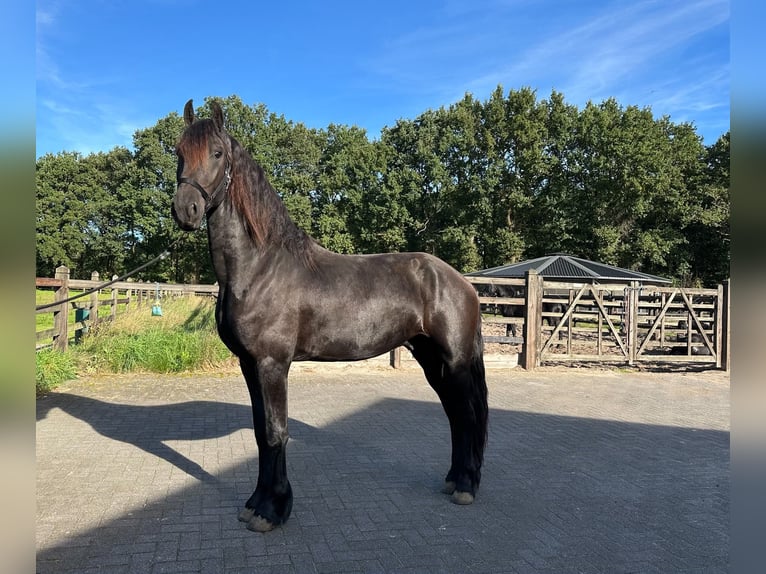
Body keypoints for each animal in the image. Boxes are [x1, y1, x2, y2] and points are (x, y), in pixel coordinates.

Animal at [171, 99, 488, 532]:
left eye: (217, 153)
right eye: (178, 153)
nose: (185, 210)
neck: (260, 266)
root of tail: (461, 282)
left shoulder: (272, 364)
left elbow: (276, 432)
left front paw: (272, 510)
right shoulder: (249, 365)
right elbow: (259, 433)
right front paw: (256, 504)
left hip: (454, 361)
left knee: (468, 415)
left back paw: (467, 487)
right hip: (431, 360)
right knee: (456, 415)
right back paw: (454, 479)